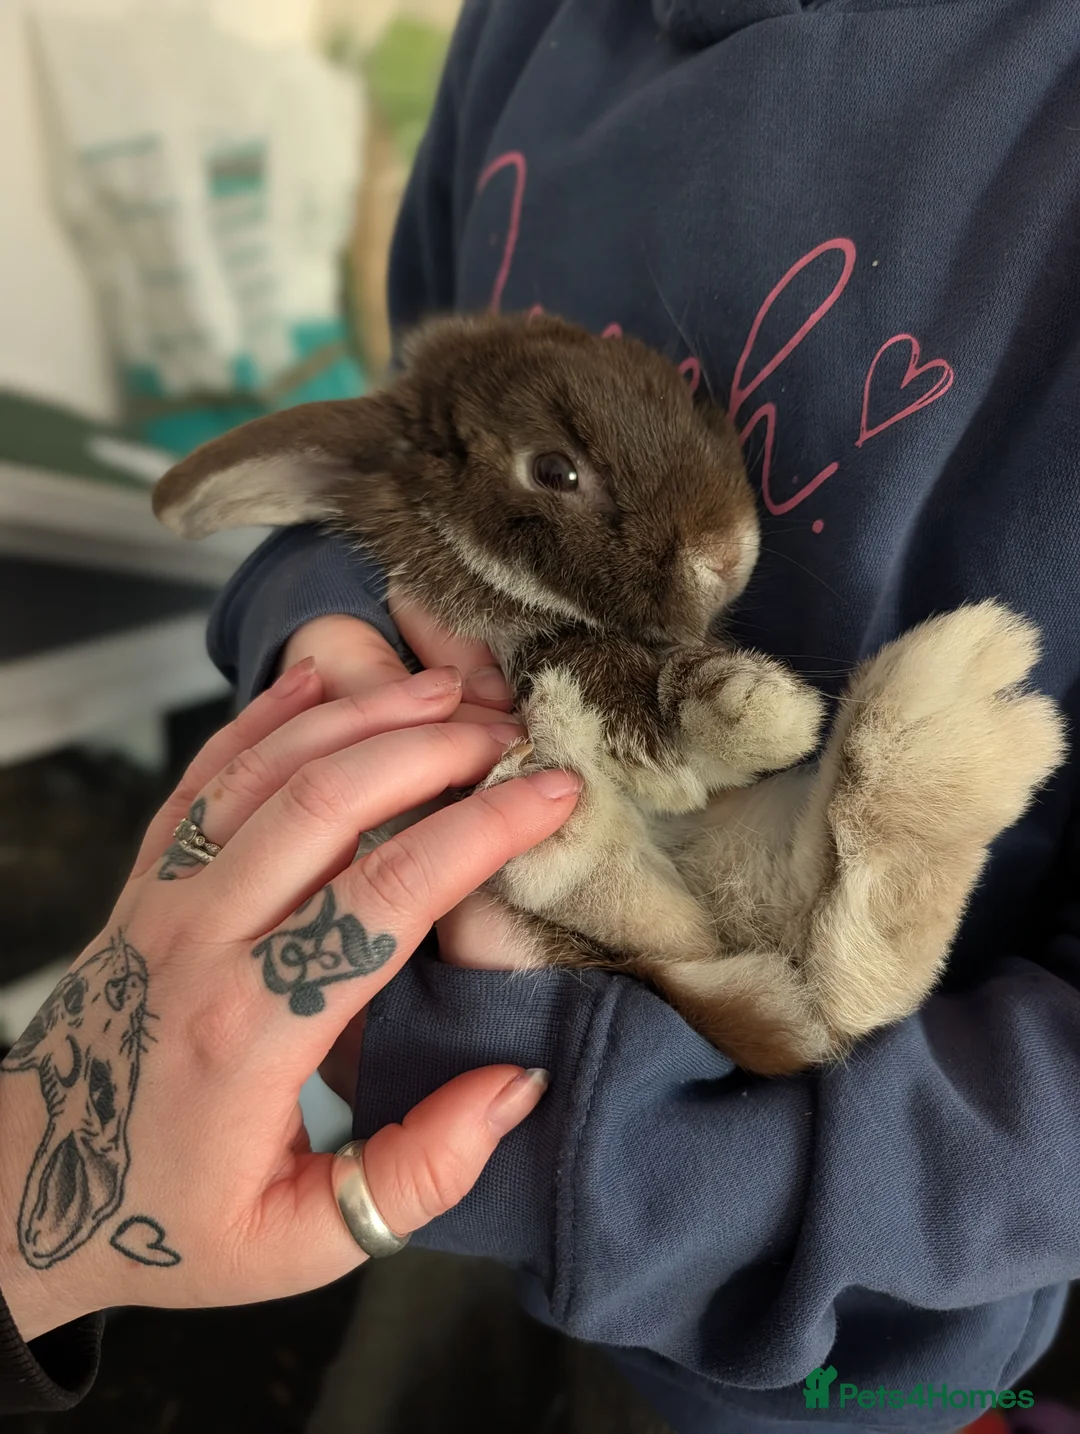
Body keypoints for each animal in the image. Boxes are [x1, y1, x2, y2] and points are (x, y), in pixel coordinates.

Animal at [153, 311, 1066, 1075]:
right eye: (555, 469)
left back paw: (944, 743)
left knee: (824, 966)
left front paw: (740, 705)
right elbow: (596, 672)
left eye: (674, 389)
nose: (725, 552)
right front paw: (724, 723)